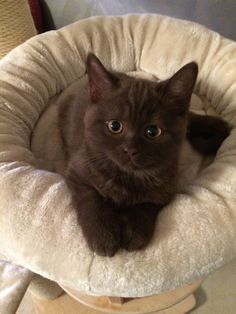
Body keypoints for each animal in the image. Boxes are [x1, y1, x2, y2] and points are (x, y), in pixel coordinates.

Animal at [57, 54, 230, 256]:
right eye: (114, 126)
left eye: (152, 131)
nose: (130, 150)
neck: (128, 176)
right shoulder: (78, 171)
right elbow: (91, 198)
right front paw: (103, 234)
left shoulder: (166, 185)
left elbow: (147, 203)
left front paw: (135, 230)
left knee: (189, 119)